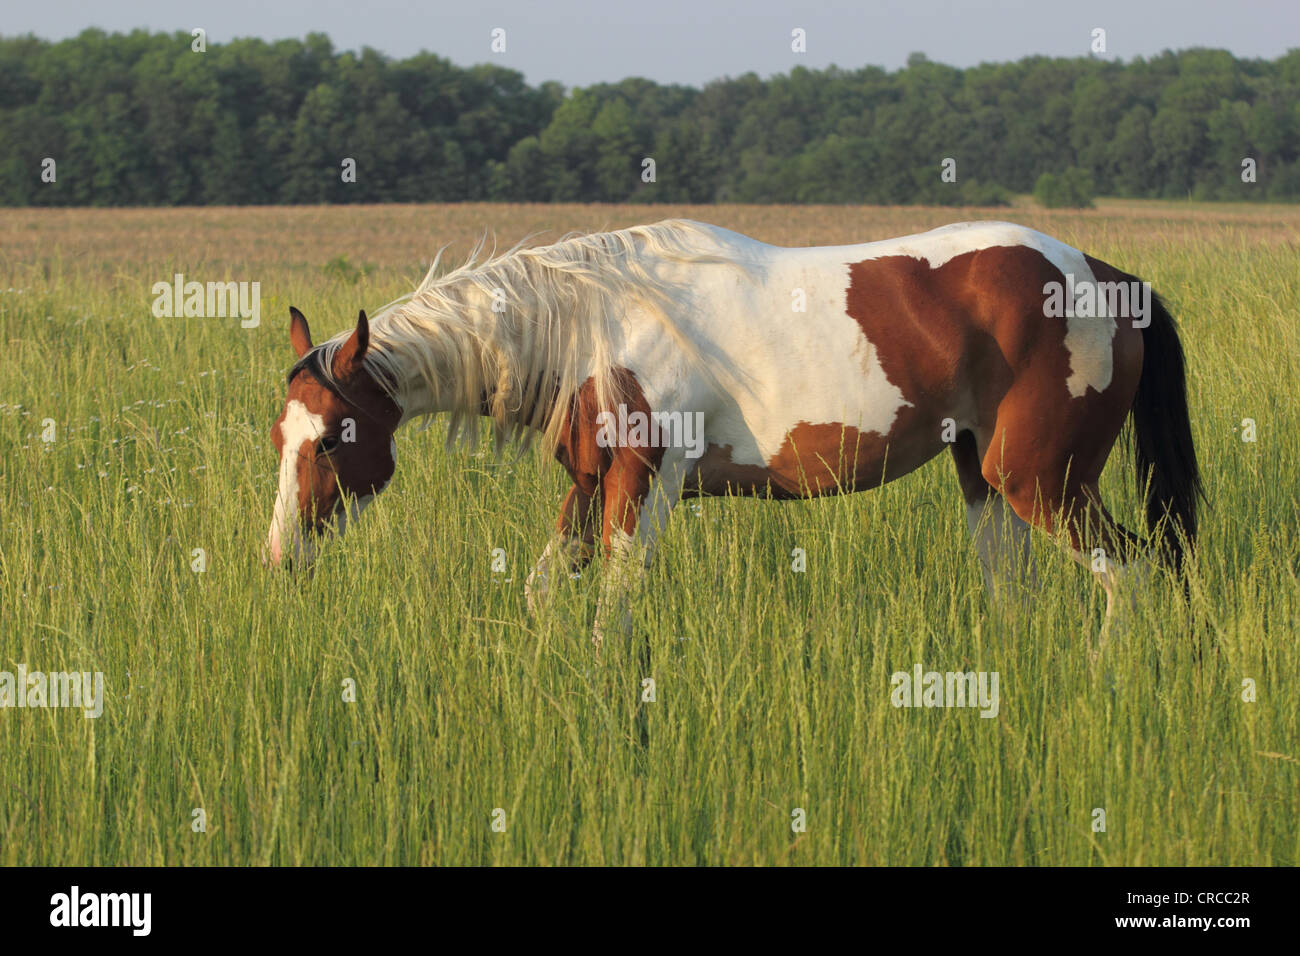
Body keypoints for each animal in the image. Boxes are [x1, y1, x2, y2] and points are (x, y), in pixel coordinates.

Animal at [266, 221, 1206, 642]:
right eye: (283, 435)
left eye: (333, 437)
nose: (280, 556)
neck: (594, 328)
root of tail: (1110, 279)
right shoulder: (588, 487)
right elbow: (542, 593)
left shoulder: (643, 484)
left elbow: (614, 608)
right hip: (986, 483)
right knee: (1019, 594)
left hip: (1045, 483)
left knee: (1136, 575)